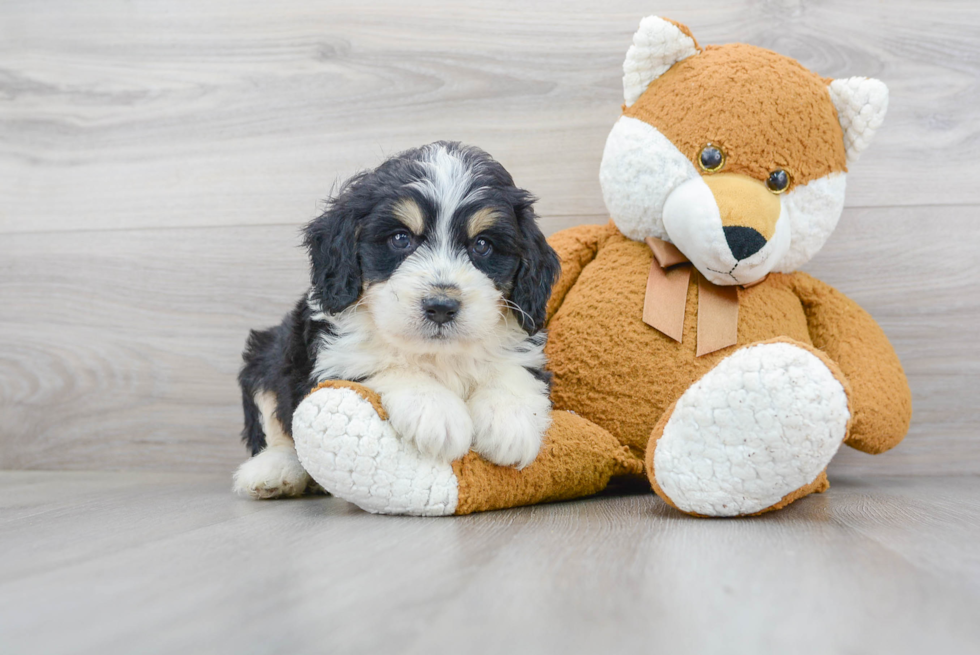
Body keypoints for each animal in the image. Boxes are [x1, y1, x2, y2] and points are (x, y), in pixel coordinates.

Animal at [233, 142, 564, 498]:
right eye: (400, 238)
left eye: (483, 245)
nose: (441, 306)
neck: (438, 354)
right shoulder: (336, 354)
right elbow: (384, 363)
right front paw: (434, 411)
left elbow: (512, 371)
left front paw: (510, 421)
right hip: (266, 356)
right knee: (277, 428)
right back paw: (274, 471)